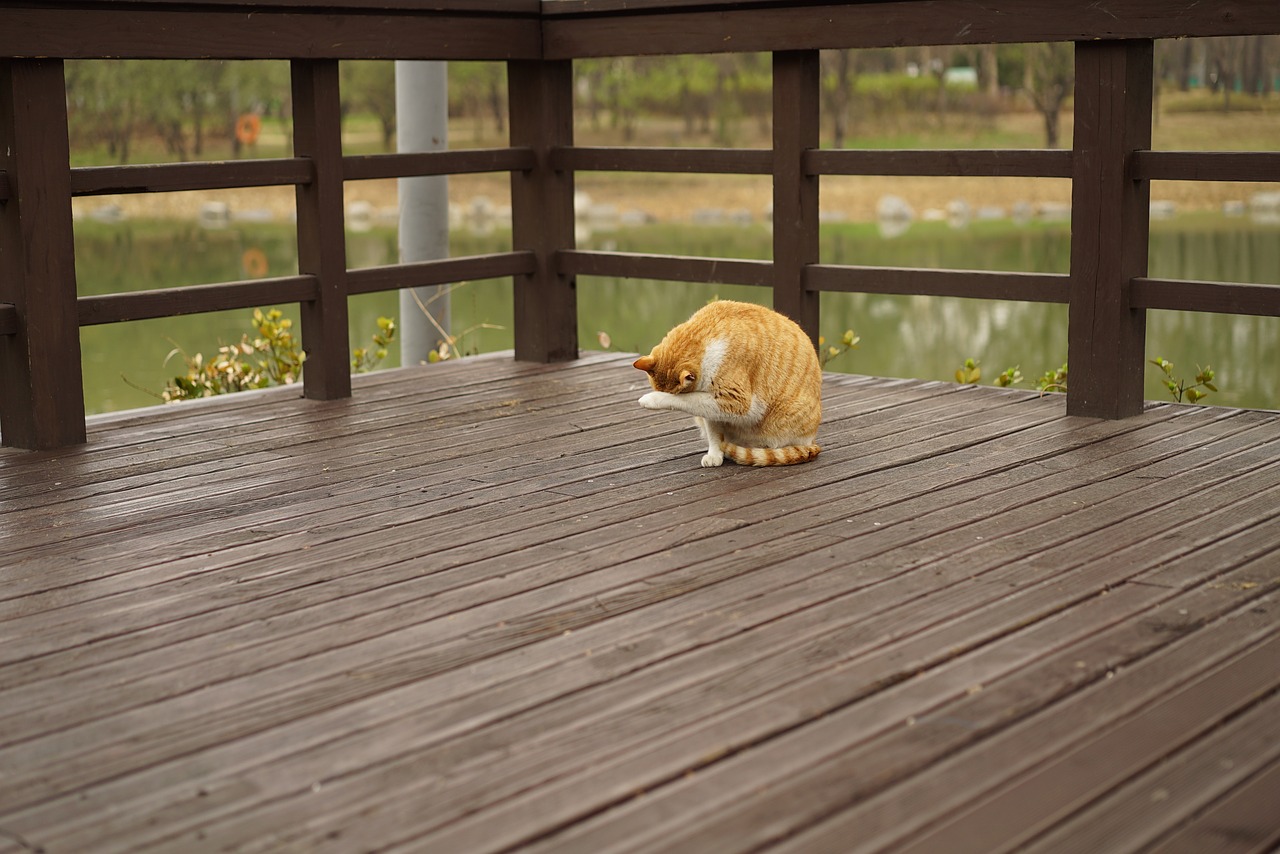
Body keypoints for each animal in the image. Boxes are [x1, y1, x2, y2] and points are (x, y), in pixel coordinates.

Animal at [629, 300, 819, 468]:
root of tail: (812, 442)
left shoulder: (735, 401)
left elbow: (685, 400)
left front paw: (652, 399)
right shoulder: (712, 406)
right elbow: (714, 432)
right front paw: (715, 454)